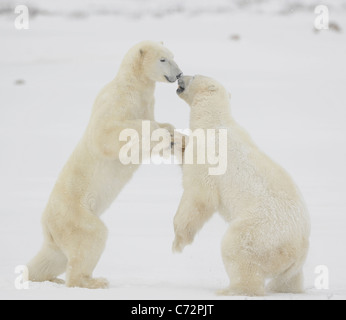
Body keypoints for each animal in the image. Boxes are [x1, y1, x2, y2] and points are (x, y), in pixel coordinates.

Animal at [27, 40, 184, 290]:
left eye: (173, 56)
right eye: (163, 59)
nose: (178, 74)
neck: (134, 86)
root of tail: (47, 224)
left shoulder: (146, 103)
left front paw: (170, 135)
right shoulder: (117, 103)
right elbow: (109, 133)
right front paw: (157, 131)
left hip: (61, 233)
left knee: (53, 257)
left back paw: (45, 276)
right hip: (76, 217)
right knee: (91, 238)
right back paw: (93, 281)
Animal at [173, 76, 310, 296]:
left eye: (193, 76)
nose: (179, 76)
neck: (215, 122)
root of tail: (298, 249)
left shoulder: (208, 156)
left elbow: (199, 195)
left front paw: (178, 241)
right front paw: (173, 138)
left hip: (260, 232)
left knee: (236, 248)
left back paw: (233, 289)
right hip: (292, 264)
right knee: (289, 279)